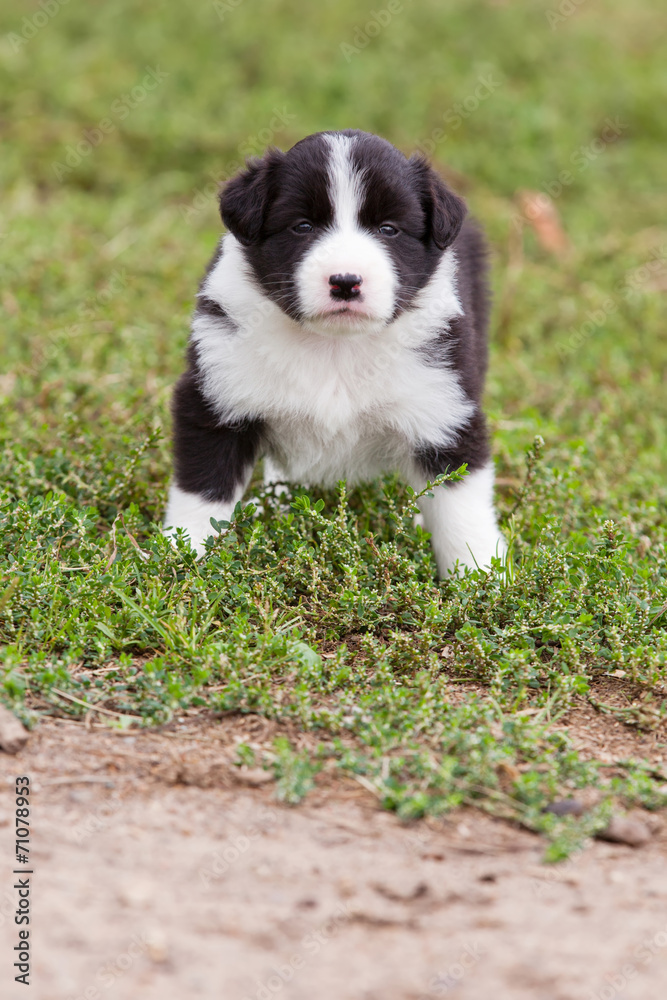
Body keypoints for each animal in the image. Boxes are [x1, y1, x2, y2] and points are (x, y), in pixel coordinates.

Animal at [166, 129, 506, 576]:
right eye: (302, 226)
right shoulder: (214, 400)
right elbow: (202, 495)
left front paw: (481, 578)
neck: (335, 346)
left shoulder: (445, 410)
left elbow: (460, 508)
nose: (345, 281)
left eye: (389, 229)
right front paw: (183, 563)